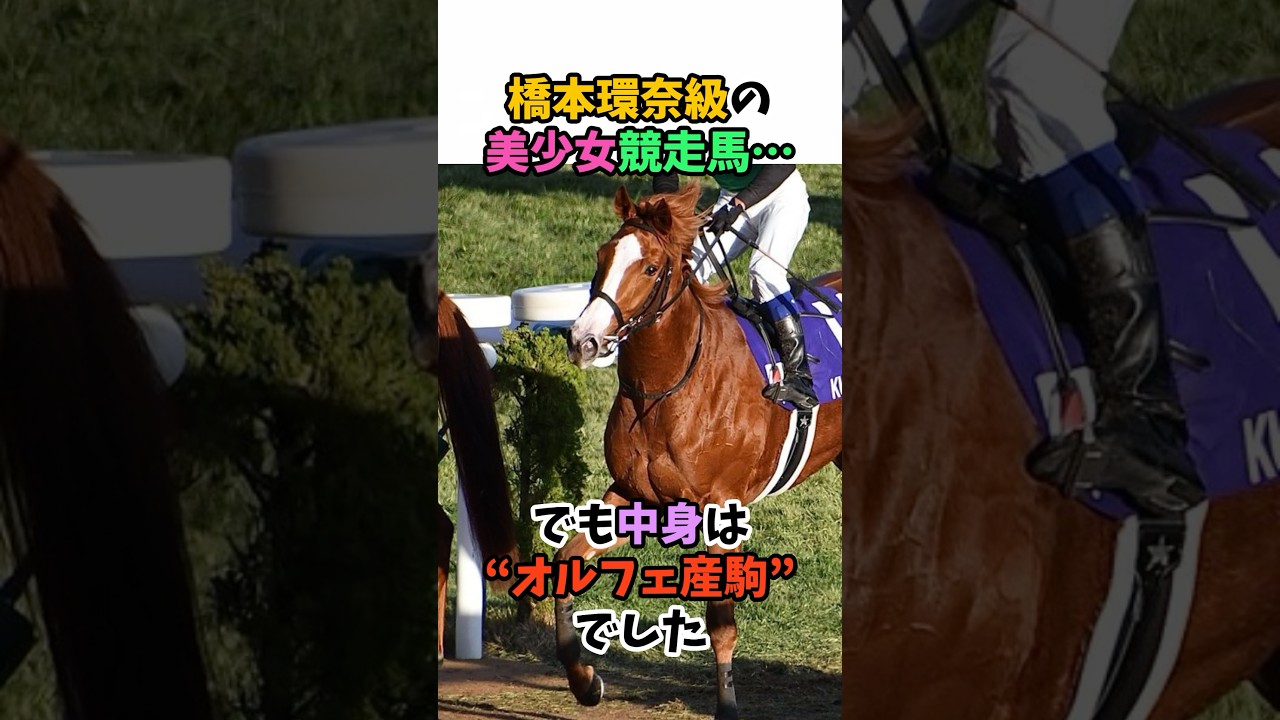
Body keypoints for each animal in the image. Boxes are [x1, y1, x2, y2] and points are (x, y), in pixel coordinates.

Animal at [559, 181, 843, 719]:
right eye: (602, 255)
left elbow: (721, 622)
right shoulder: (630, 492)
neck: (666, 387)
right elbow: (567, 562)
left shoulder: (720, 508)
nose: (583, 340)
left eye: (650, 268)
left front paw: (727, 705)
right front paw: (586, 682)